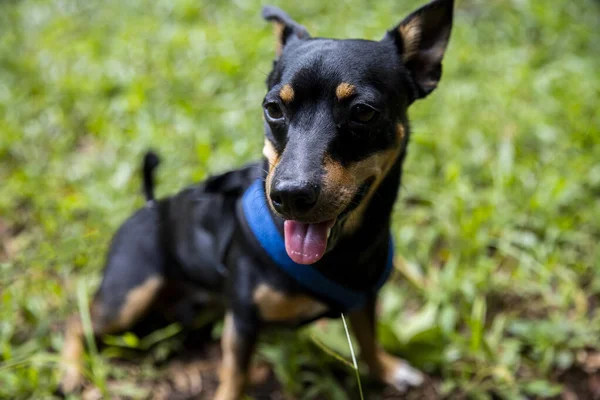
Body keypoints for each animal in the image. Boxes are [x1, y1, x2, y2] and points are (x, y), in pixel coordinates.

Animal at [59, 1, 454, 398]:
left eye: (363, 112)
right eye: (273, 109)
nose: (289, 195)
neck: (341, 253)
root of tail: (150, 206)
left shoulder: (364, 298)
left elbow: (368, 339)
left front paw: (387, 369)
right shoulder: (242, 318)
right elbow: (235, 373)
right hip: (129, 296)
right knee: (77, 320)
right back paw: (71, 370)